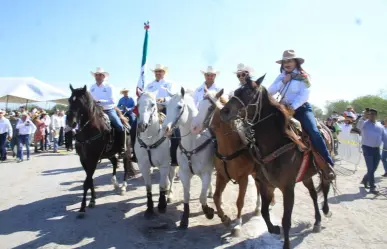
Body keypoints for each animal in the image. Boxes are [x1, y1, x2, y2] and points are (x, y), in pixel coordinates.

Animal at [68, 85, 136, 218]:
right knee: (114, 162)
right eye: (69, 100)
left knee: (126, 167)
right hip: (109, 153)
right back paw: (115, 183)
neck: (89, 131)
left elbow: (87, 182)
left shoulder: (93, 159)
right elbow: (90, 180)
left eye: (80, 102)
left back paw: (123, 187)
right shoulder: (83, 160)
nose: (70, 121)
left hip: (125, 152)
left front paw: (82, 208)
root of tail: (125, 121)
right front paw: (92, 200)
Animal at [135, 90, 177, 219]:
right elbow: (148, 187)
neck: (150, 140)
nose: (142, 126)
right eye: (138, 104)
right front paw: (149, 208)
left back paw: (170, 195)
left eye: (153, 104)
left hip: (172, 165)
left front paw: (162, 205)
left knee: (171, 178)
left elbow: (162, 185)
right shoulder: (144, 166)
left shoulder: (164, 165)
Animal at [164, 86, 217, 229]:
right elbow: (186, 196)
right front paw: (184, 219)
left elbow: (202, 197)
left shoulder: (205, 173)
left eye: (179, 107)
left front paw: (208, 212)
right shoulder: (184, 174)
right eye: (166, 106)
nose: (165, 129)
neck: (193, 143)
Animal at [191, 88, 276, 236]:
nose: (194, 127)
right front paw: (225, 219)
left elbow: (239, 202)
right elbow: (216, 197)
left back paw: (260, 207)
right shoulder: (222, 176)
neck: (229, 148)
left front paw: (237, 224)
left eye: (210, 108)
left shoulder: (243, 179)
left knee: (259, 188)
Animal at [220, 76, 334, 249]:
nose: (224, 111)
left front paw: (285, 243)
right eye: (237, 90)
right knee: (314, 194)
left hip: (323, 169)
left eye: (249, 92)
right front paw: (274, 228)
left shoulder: (288, 188)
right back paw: (317, 222)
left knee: (326, 185)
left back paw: (326, 211)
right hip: (306, 176)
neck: (275, 144)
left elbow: (286, 220)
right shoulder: (266, 185)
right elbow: (265, 212)